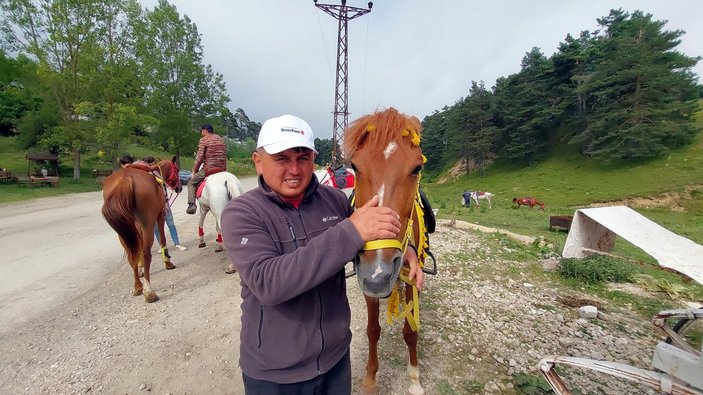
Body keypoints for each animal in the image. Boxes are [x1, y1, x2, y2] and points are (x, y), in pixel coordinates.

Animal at [103, 157, 184, 304]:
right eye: (177, 169)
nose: (179, 188)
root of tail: (126, 180)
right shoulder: (160, 217)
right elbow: (162, 239)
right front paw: (168, 262)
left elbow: (138, 250)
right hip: (147, 225)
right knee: (146, 253)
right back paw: (148, 291)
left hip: (123, 231)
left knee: (131, 256)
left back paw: (138, 286)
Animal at [346, 108, 428, 395]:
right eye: (355, 166)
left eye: (417, 168)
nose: (379, 270)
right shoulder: (367, 280)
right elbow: (373, 329)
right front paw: (371, 378)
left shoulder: (411, 277)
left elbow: (411, 331)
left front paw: (414, 378)